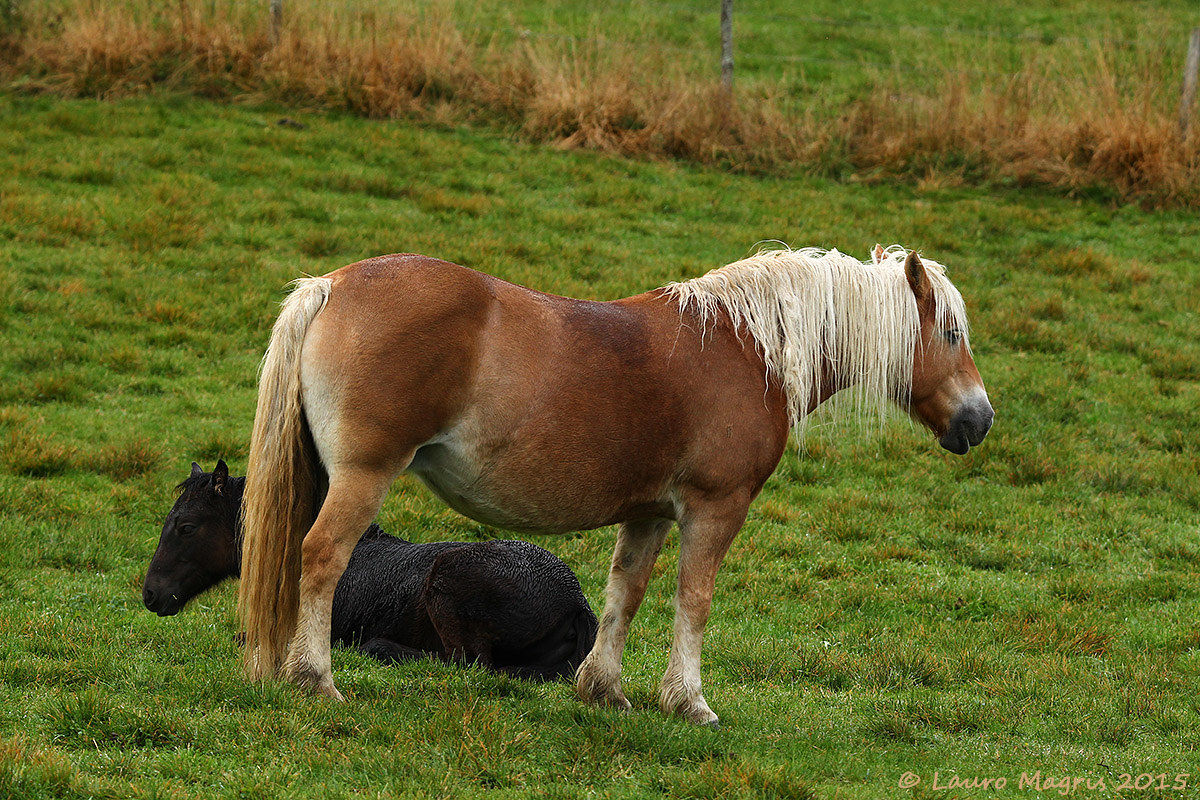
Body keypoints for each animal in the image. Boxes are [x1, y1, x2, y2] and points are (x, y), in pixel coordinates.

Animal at [238, 244, 993, 725]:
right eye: (951, 334)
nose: (980, 419)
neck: (746, 350)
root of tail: (331, 285)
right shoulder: (714, 509)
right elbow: (694, 600)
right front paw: (688, 702)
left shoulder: (650, 512)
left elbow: (622, 596)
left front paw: (602, 690)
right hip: (362, 478)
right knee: (320, 558)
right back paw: (315, 680)